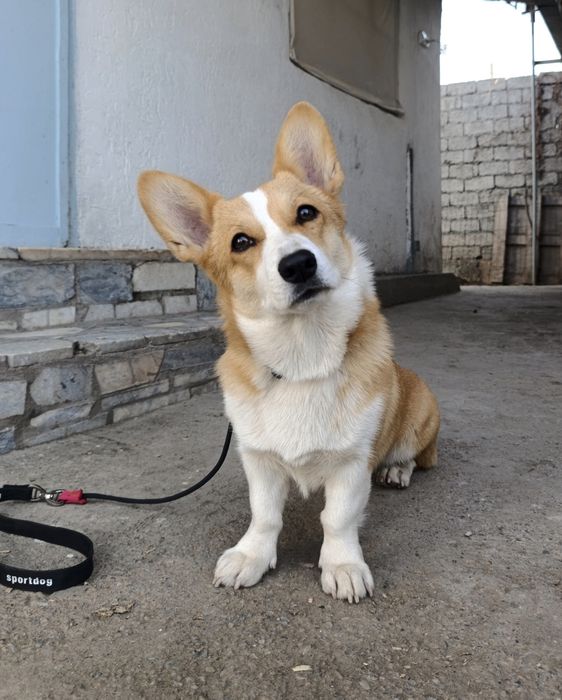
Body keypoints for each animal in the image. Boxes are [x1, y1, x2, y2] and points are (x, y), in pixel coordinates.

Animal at [137, 102, 440, 603]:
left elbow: (337, 518)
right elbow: (264, 516)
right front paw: (251, 556)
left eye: (306, 212)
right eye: (241, 242)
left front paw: (342, 565)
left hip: (421, 416)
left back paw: (397, 470)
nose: (298, 265)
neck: (303, 357)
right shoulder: (258, 459)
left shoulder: (352, 463)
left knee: (413, 456)